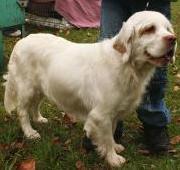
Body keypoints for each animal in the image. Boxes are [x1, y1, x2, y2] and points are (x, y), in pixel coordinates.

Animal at [3, 11, 176, 167]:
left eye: (168, 28)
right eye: (149, 29)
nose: (173, 39)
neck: (126, 66)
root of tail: (21, 41)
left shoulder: (113, 113)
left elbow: (112, 132)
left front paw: (115, 147)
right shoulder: (101, 114)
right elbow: (106, 137)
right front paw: (113, 158)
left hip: (41, 88)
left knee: (35, 105)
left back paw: (39, 119)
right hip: (27, 88)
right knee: (22, 111)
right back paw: (30, 132)